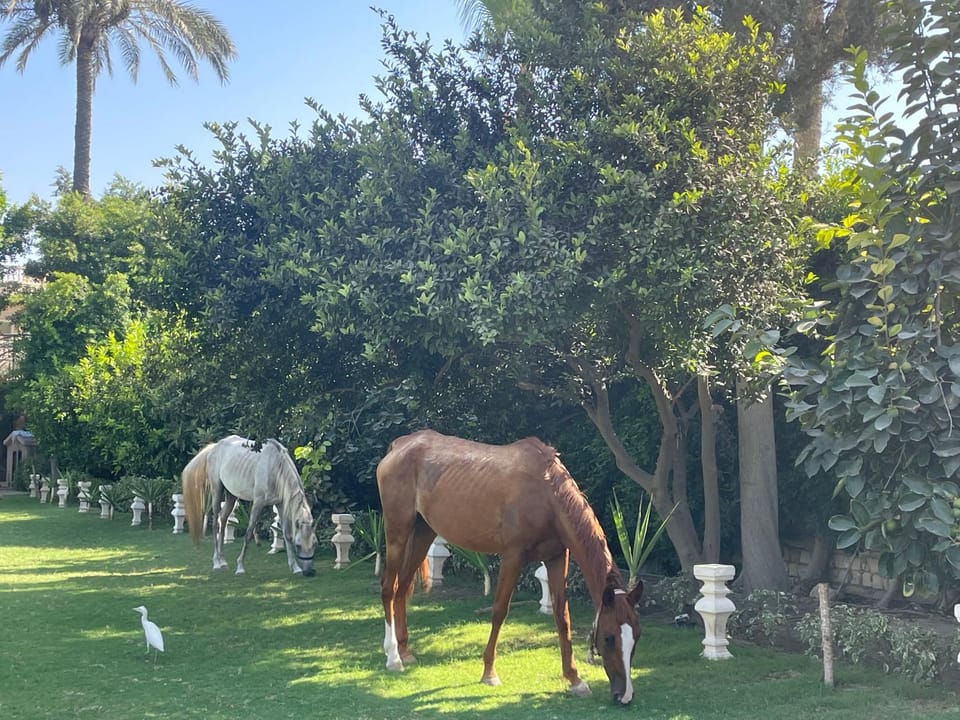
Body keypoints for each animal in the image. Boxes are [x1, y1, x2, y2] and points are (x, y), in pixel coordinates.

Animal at [182, 435, 318, 577]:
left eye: (315, 543)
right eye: (298, 545)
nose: (309, 572)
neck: (275, 467)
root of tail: (215, 446)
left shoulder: (280, 504)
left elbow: (287, 534)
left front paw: (295, 567)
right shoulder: (258, 503)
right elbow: (248, 533)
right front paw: (240, 567)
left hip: (231, 496)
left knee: (223, 521)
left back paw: (222, 560)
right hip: (216, 491)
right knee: (215, 524)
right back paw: (216, 562)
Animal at [377, 429, 644, 705]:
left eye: (636, 636)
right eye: (609, 638)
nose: (625, 696)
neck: (546, 494)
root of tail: (400, 445)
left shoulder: (557, 557)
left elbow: (562, 617)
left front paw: (575, 679)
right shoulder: (513, 557)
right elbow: (499, 611)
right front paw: (489, 673)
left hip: (423, 532)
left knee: (402, 589)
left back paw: (405, 651)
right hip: (397, 531)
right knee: (388, 589)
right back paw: (393, 658)